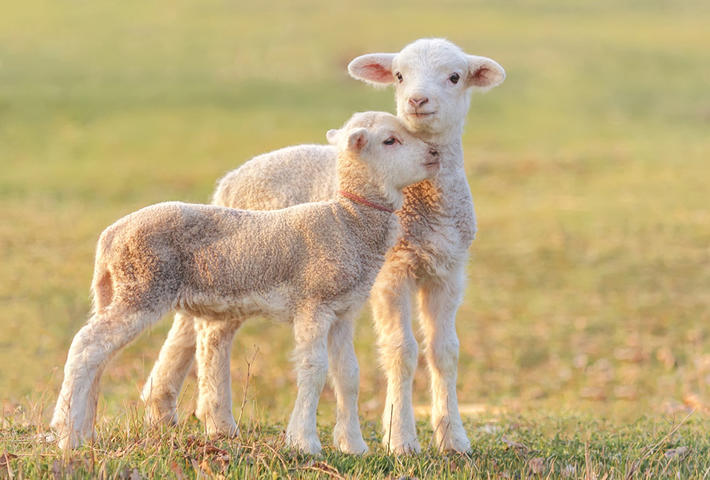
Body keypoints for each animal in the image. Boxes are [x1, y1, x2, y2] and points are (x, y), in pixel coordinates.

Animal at [50, 110, 440, 452]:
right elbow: (314, 369)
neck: (348, 220)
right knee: (86, 346)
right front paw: (305, 442)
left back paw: (85, 433)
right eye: (390, 140)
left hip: (119, 292)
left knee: (101, 354)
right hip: (142, 288)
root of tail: (109, 237)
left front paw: (354, 446)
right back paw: (67, 435)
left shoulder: (343, 312)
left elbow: (348, 375)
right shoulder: (313, 304)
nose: (435, 154)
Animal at [145, 38, 506, 454]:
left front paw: (454, 439)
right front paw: (401, 439)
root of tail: (231, 178)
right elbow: (402, 350)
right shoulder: (392, 272)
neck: (426, 204)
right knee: (213, 335)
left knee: (191, 325)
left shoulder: (449, 269)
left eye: (455, 77)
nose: (417, 100)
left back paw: (165, 407)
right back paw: (214, 420)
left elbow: (445, 352)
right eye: (399, 75)